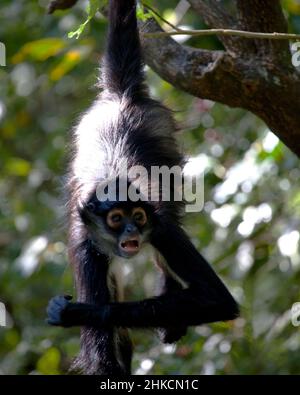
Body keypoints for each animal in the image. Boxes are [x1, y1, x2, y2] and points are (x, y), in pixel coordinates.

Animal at [47, 0, 239, 374]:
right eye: (115, 219)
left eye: (136, 215)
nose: (132, 230)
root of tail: (121, 96)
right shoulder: (85, 246)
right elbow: (102, 358)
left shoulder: (161, 229)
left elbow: (218, 301)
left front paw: (83, 312)